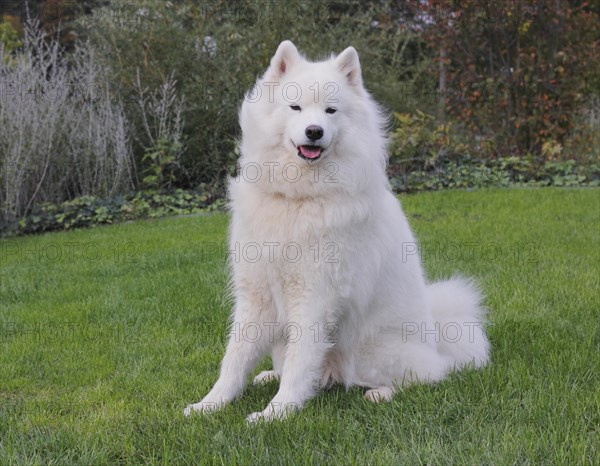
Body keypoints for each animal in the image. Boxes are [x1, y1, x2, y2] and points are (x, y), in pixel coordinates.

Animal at [185, 41, 490, 422]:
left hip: (372, 351)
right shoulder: (256, 294)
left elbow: (300, 362)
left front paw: (277, 414)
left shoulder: (315, 297)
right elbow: (236, 357)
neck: (299, 198)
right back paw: (270, 374)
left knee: (428, 375)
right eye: (296, 107)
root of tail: (436, 334)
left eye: (331, 111)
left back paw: (380, 393)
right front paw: (210, 404)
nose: (314, 131)